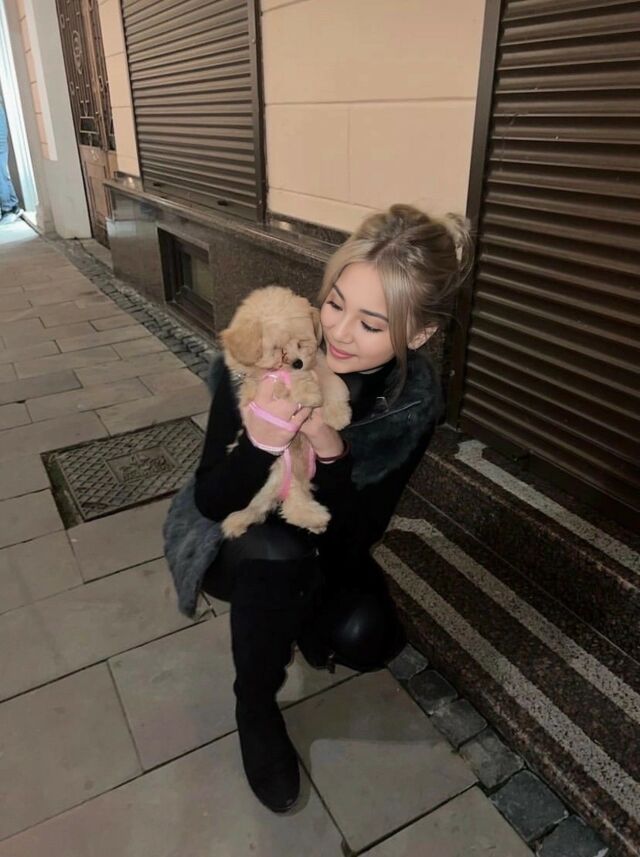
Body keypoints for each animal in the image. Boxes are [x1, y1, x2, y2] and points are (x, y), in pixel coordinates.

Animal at [219, 285, 351, 538]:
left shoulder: (319, 365)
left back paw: (314, 519)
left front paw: (339, 415)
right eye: (278, 350)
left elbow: (334, 383)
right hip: (278, 466)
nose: (298, 362)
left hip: (295, 473)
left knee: (294, 499)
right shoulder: (264, 382)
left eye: (301, 343)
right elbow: (287, 380)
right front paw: (308, 392)